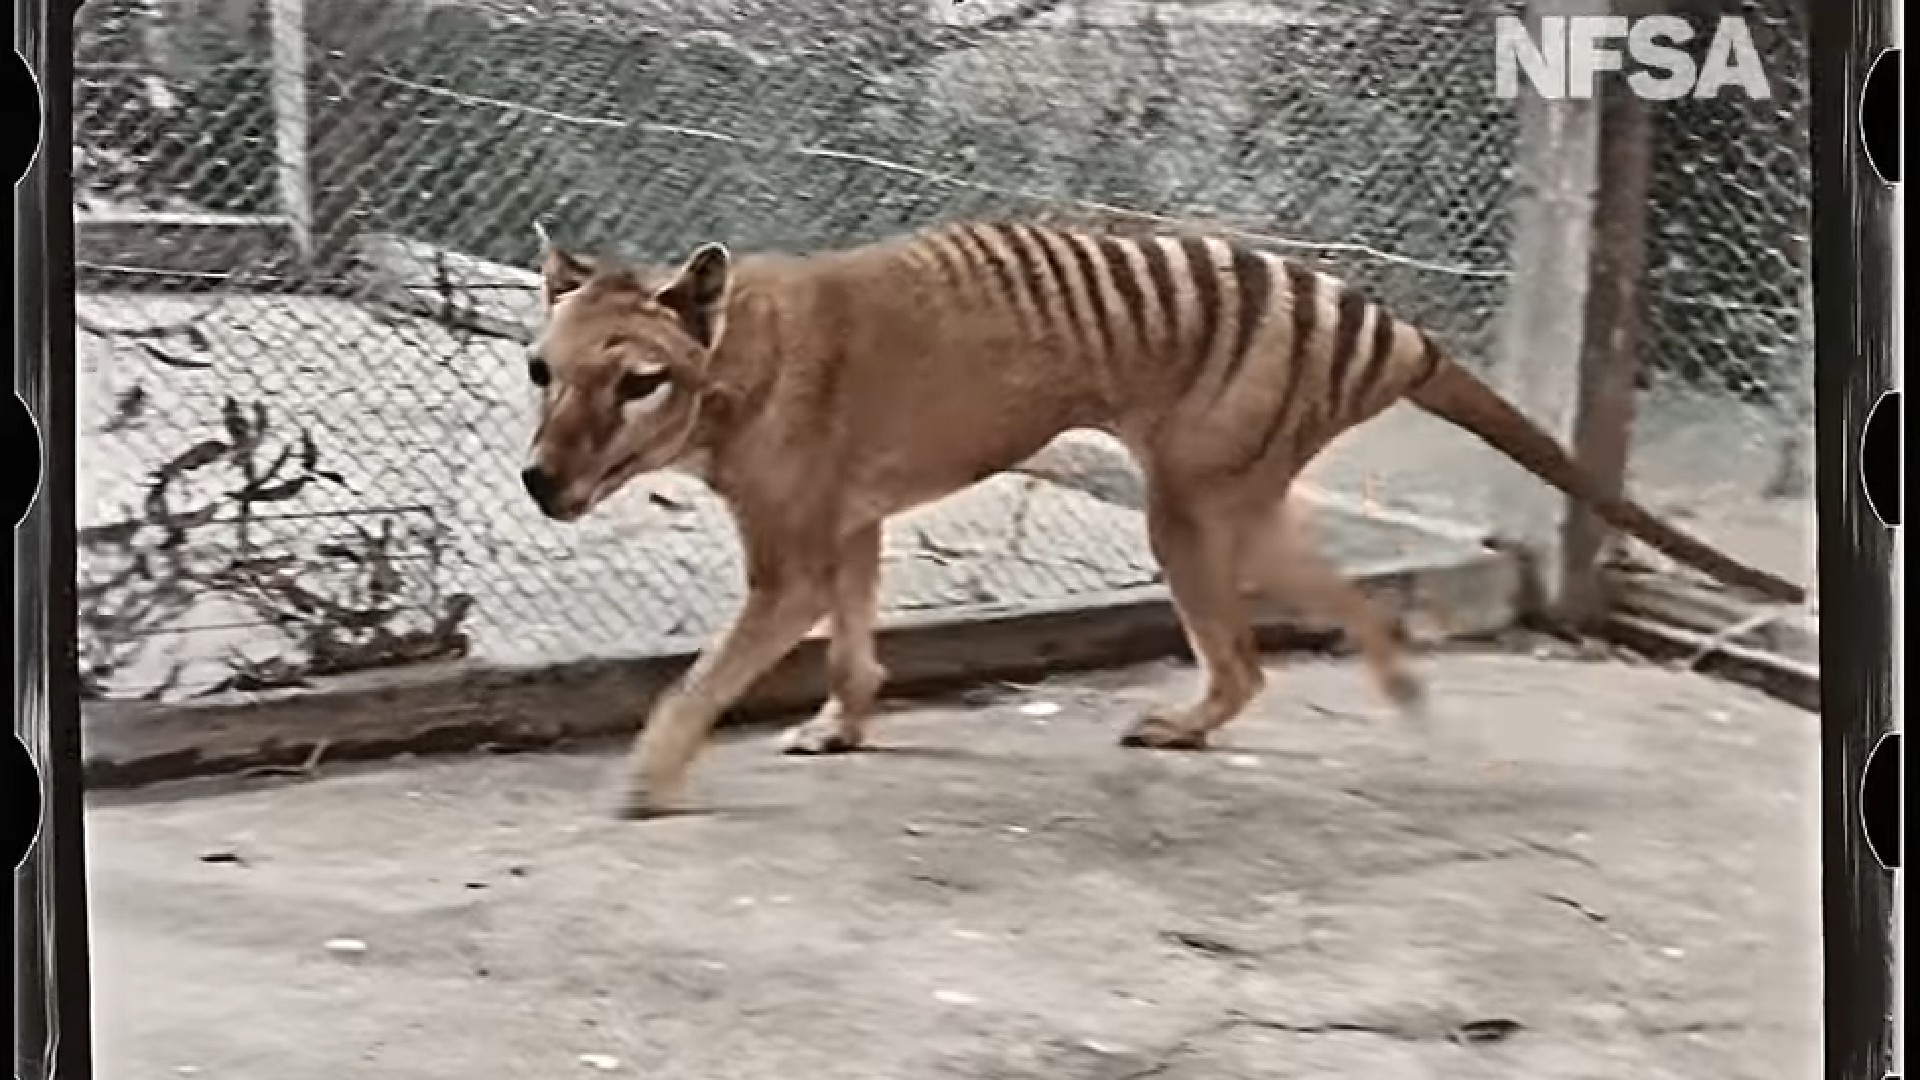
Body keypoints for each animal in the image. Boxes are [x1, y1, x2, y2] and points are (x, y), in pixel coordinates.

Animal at [518, 220, 1804, 814]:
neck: (740, 358)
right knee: (1343, 610)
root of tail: (1399, 329)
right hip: (1237, 504)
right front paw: (843, 727)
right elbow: (857, 650)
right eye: (542, 369)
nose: (537, 481)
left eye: (638, 381)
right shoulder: (850, 529)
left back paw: (1196, 724)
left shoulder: (788, 557)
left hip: (1188, 509)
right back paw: (1396, 691)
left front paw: (649, 779)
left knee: (1247, 661)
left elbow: (702, 681)